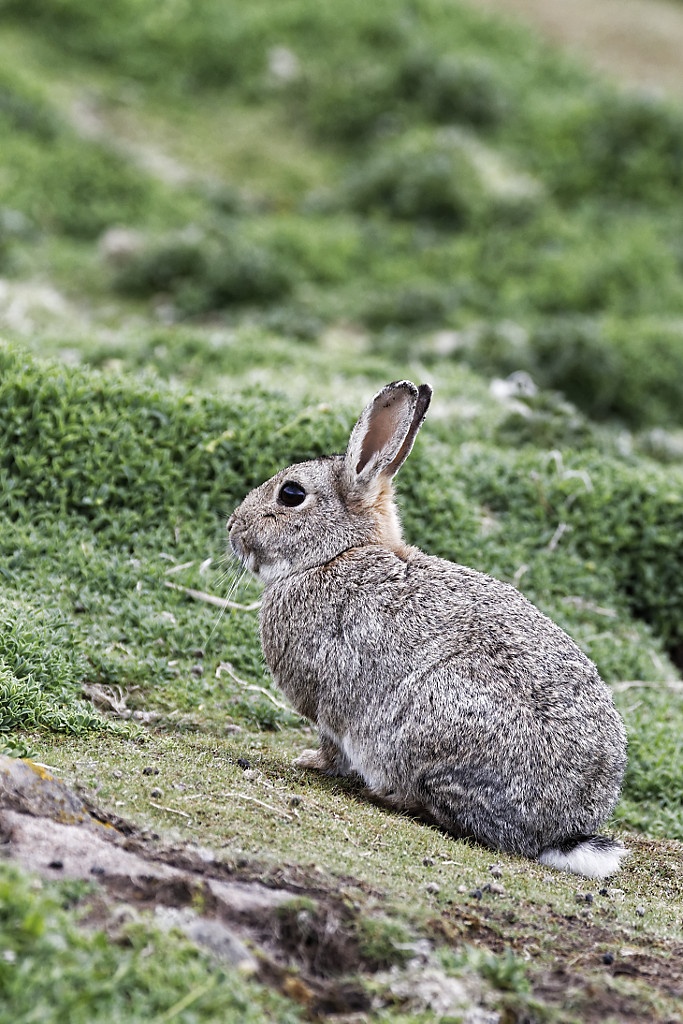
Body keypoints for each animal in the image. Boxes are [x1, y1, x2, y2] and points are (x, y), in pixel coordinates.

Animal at [227, 380, 626, 876]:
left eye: (291, 494)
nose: (233, 528)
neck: (333, 556)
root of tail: (561, 832)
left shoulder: (330, 703)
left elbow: (332, 746)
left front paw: (309, 763)